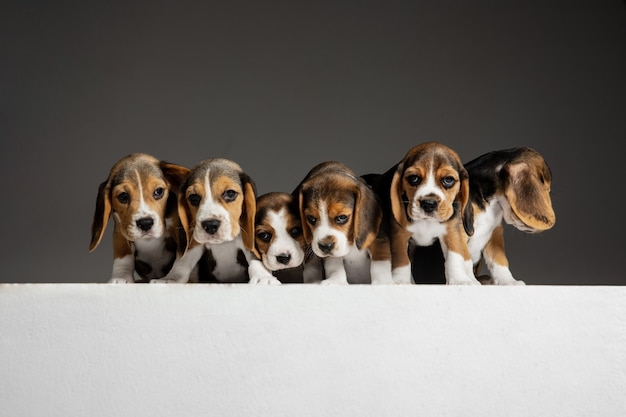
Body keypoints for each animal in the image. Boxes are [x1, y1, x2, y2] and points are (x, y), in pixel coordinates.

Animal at [89, 153, 189, 282]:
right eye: (123, 196)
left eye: (159, 191)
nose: (145, 223)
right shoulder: (120, 232)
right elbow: (123, 256)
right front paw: (121, 277)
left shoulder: (179, 231)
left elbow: (182, 256)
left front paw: (171, 279)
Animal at [150, 158, 280, 284]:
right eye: (194, 198)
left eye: (230, 193)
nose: (210, 225)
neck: (221, 244)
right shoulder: (195, 239)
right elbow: (183, 261)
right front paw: (171, 278)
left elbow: (254, 257)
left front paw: (263, 277)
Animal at [364, 141, 476, 284]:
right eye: (413, 178)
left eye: (448, 180)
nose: (429, 204)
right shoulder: (399, 235)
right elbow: (402, 260)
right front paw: (400, 281)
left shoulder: (451, 231)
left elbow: (454, 256)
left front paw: (459, 280)